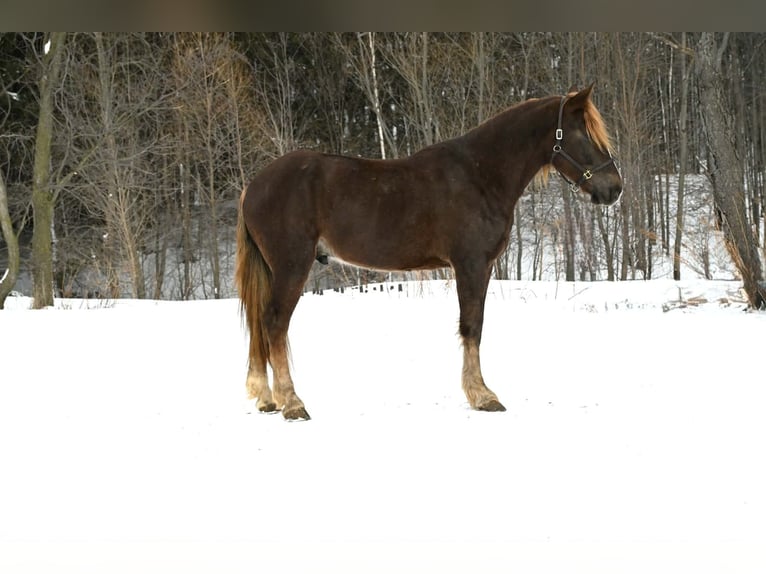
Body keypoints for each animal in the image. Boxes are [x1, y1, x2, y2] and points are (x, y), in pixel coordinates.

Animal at [236, 84, 622, 420]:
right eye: (583, 134)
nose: (615, 188)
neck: (481, 175)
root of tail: (253, 186)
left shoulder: (480, 267)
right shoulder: (470, 264)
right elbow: (472, 326)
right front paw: (483, 396)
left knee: (260, 324)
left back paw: (267, 399)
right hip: (291, 266)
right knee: (274, 323)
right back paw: (292, 403)